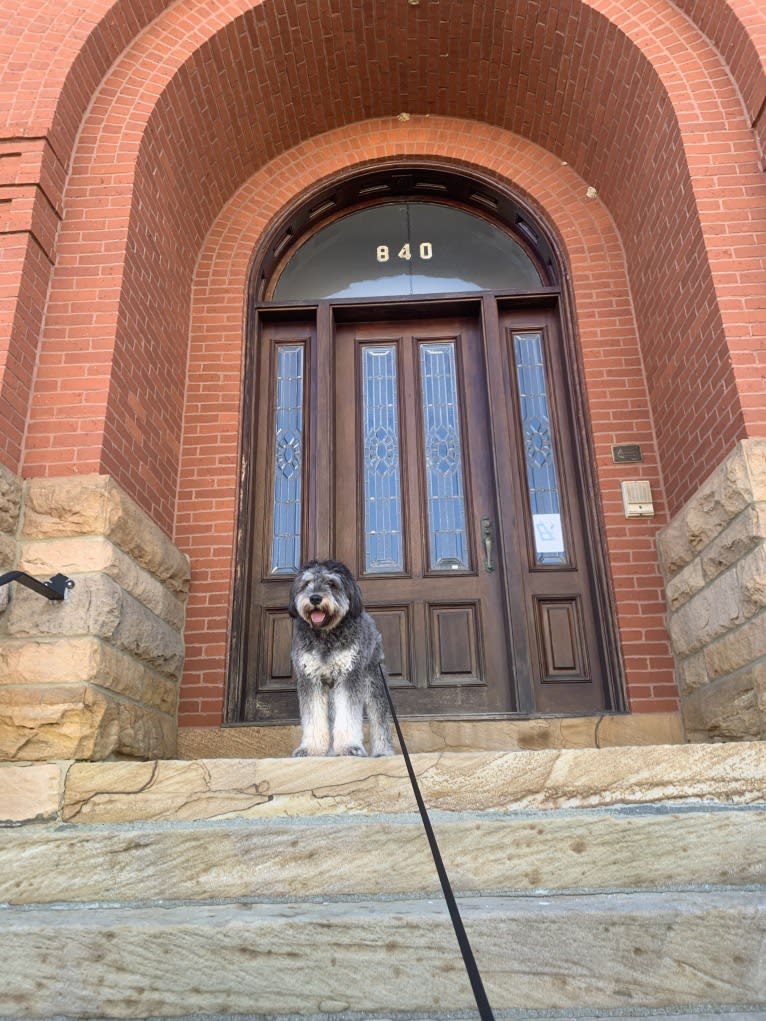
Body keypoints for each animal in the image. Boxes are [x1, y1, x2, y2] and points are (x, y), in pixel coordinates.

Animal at [288, 559, 396, 759]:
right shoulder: (310, 679)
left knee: (379, 719)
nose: (315, 598)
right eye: (306, 583)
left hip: (374, 682)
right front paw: (310, 749)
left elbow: (348, 715)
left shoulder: (349, 676)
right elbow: (313, 718)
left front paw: (348, 747)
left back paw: (383, 751)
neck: (325, 634)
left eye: (332, 583)